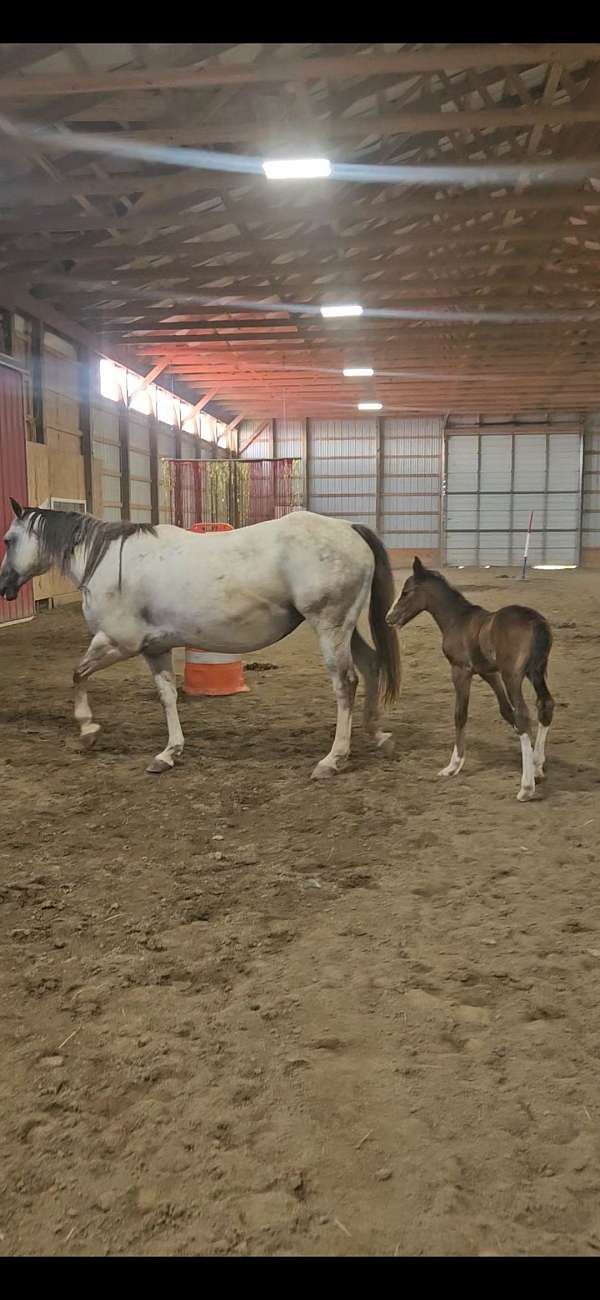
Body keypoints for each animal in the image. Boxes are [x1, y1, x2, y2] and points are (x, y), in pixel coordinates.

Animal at [2, 501, 402, 774]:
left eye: (8, 540)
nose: (5, 585)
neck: (107, 561)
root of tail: (349, 528)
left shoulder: (118, 642)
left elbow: (78, 673)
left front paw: (87, 729)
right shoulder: (155, 648)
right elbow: (167, 696)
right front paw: (169, 753)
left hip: (329, 626)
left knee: (345, 683)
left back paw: (334, 758)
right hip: (343, 628)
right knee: (370, 665)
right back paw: (376, 734)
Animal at [387, 559, 555, 800]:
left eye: (406, 592)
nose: (389, 618)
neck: (457, 620)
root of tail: (535, 621)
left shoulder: (460, 671)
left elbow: (460, 715)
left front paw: (453, 765)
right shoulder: (489, 673)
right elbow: (505, 710)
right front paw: (533, 760)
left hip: (513, 676)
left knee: (524, 714)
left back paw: (526, 787)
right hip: (536, 672)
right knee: (545, 705)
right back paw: (537, 765)